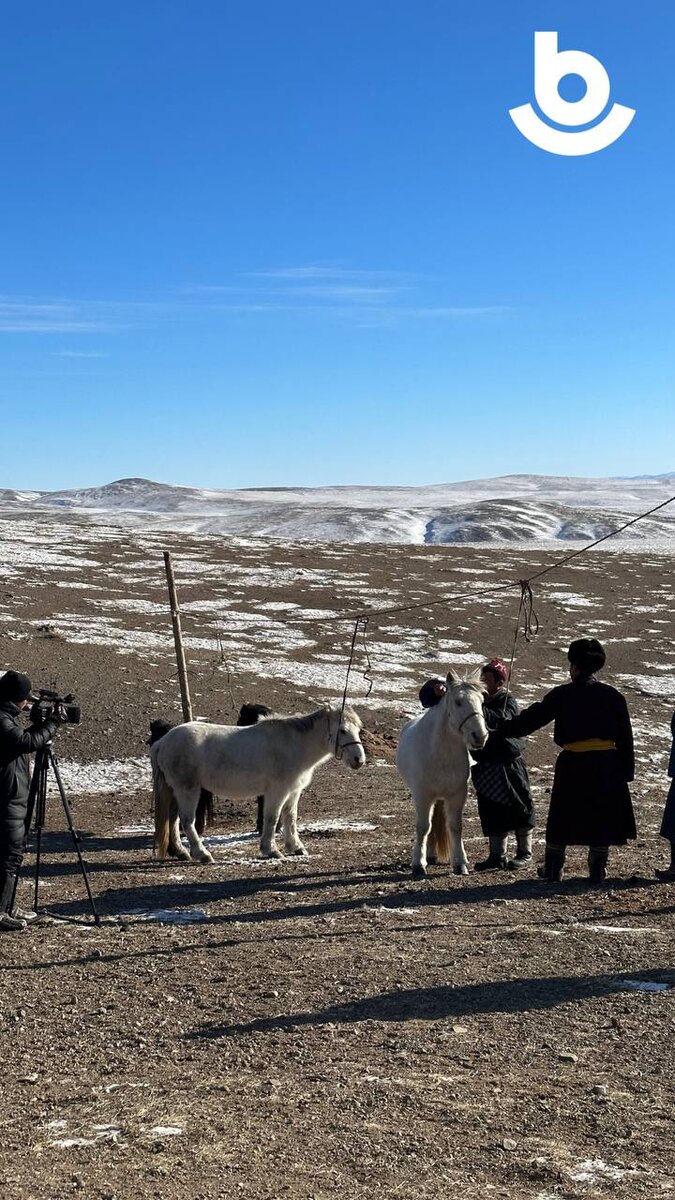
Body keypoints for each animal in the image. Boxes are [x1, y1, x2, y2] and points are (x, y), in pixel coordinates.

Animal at [151, 700, 362, 864]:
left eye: (358, 729)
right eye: (342, 730)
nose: (359, 759)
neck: (294, 744)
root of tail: (163, 741)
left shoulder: (293, 791)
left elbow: (290, 817)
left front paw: (295, 847)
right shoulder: (277, 792)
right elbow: (272, 818)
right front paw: (271, 850)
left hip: (174, 790)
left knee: (173, 820)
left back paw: (182, 852)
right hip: (188, 790)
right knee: (187, 821)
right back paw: (202, 854)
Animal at [393, 676, 482, 883]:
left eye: (482, 701)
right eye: (458, 702)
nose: (480, 735)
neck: (441, 753)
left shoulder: (457, 795)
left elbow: (455, 827)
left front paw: (460, 863)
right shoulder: (423, 795)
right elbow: (423, 827)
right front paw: (418, 865)